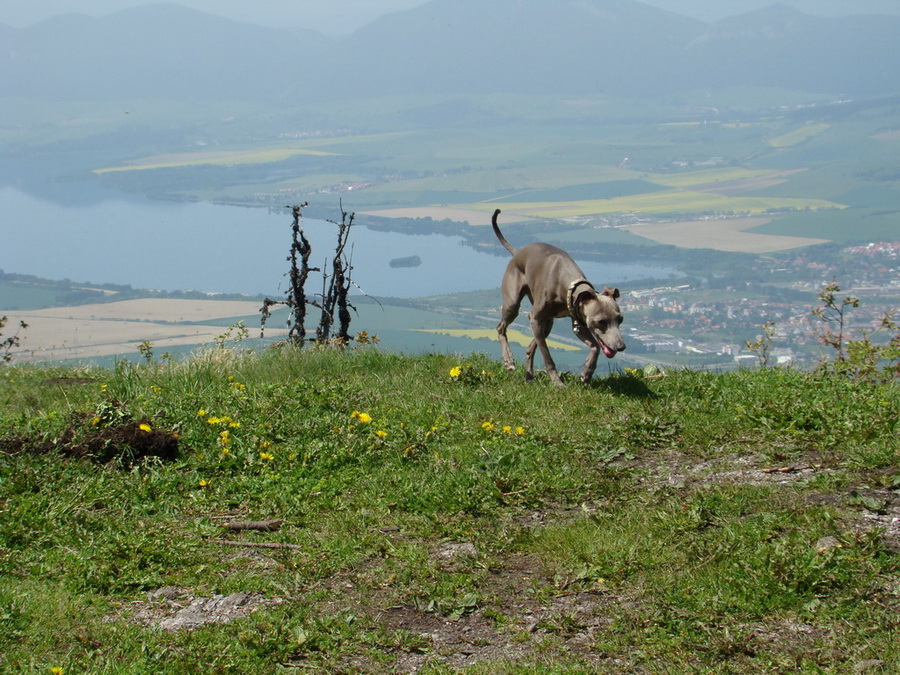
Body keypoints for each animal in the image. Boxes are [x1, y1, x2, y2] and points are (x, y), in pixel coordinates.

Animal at [492, 210, 624, 386]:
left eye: (620, 319)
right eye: (601, 321)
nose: (621, 346)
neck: (568, 283)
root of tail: (517, 252)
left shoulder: (578, 322)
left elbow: (595, 346)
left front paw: (587, 373)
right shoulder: (535, 318)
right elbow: (547, 356)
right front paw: (557, 382)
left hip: (547, 323)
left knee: (530, 347)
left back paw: (529, 377)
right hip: (513, 305)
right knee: (501, 327)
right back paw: (509, 360)